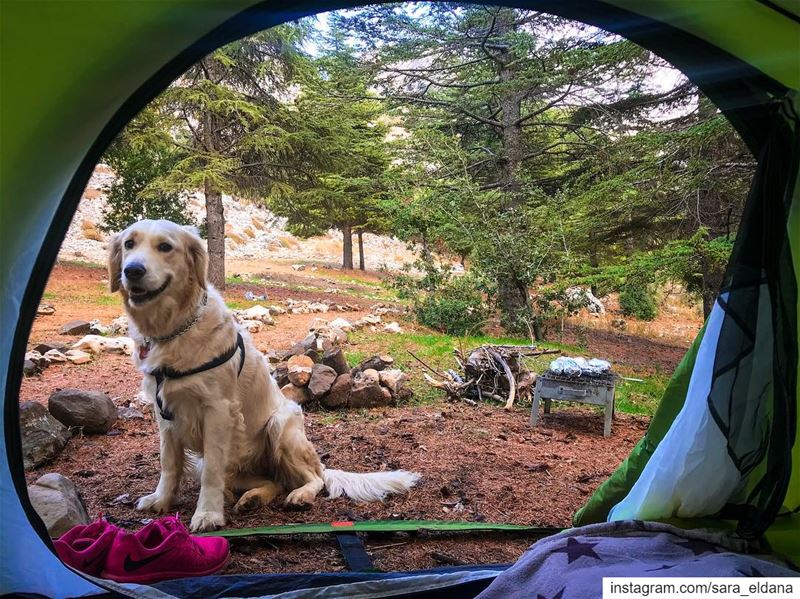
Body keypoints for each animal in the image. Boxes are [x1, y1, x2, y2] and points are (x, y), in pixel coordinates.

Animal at [110, 220, 422, 528]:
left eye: (165, 247)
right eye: (129, 244)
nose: (132, 270)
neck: (173, 331)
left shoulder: (218, 411)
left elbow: (212, 471)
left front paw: (208, 514)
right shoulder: (165, 413)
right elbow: (169, 463)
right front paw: (161, 499)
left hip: (281, 424)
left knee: (314, 479)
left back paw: (299, 496)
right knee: (274, 482)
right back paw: (252, 498)